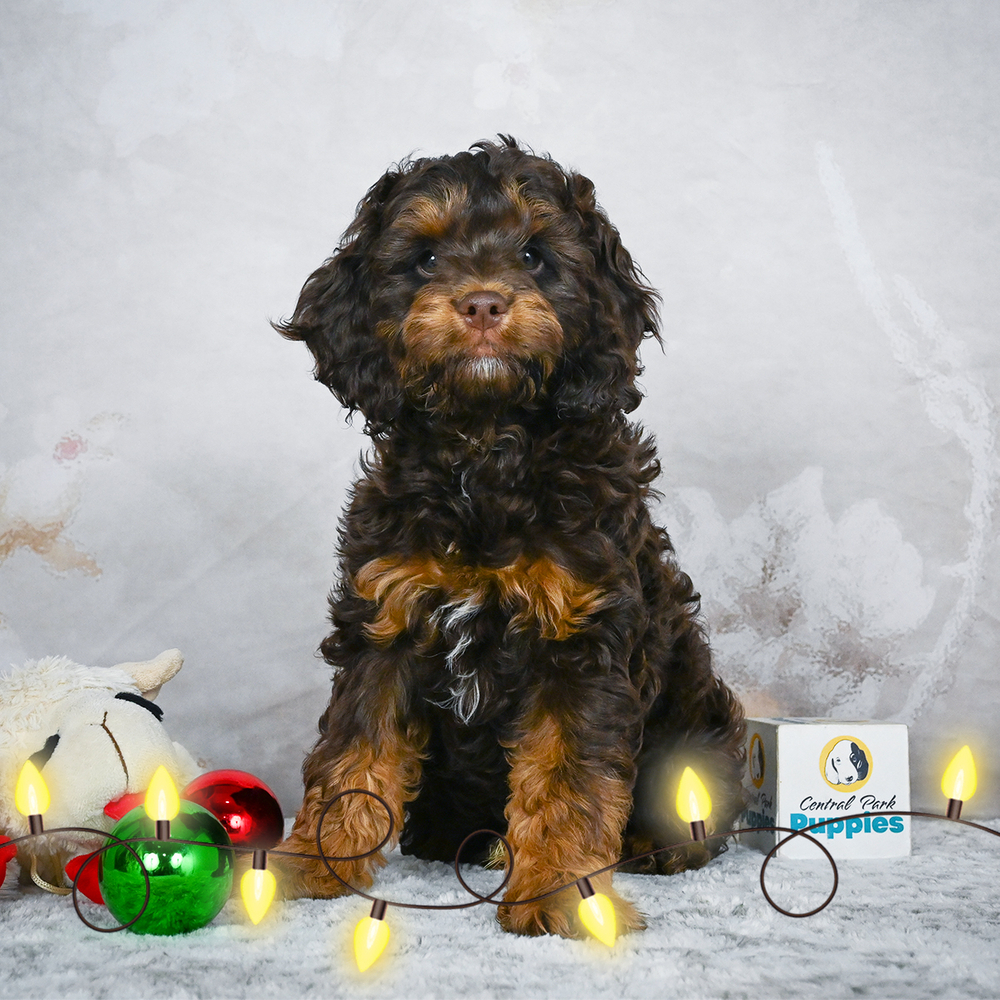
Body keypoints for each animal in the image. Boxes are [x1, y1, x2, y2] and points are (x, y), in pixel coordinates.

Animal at [274, 137, 746, 938]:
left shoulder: (581, 638)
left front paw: (559, 893)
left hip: (698, 728)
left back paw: (653, 845)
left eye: (534, 255)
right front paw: (313, 862)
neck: (484, 451)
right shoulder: (385, 621)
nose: (484, 304)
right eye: (427, 258)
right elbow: (352, 752)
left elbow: (567, 776)